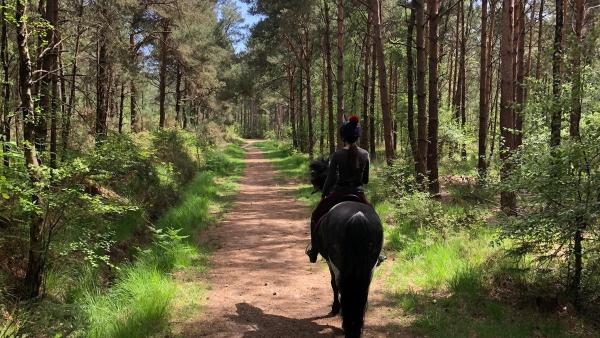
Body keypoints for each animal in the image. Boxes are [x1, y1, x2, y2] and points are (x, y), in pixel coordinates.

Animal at [310, 158, 384, 338]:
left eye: (320, 173)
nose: (312, 182)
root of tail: (358, 217)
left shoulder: (330, 262)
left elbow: (333, 284)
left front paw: (335, 308)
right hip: (369, 265)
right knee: (363, 289)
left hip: (338, 262)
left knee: (341, 285)